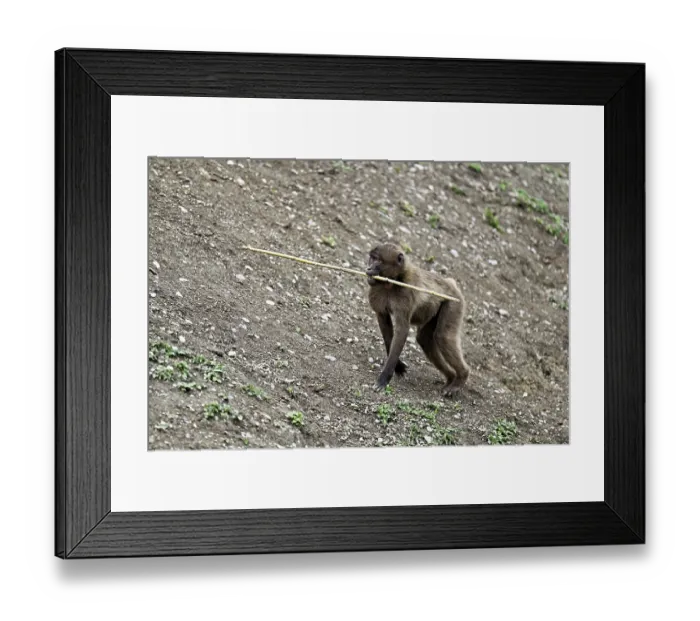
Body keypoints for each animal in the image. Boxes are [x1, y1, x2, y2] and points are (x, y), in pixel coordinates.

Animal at [366, 242, 469, 397]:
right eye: (372, 258)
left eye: (378, 260)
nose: (368, 268)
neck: (393, 281)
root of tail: (450, 283)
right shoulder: (376, 291)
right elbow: (385, 323)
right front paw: (398, 366)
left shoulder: (405, 294)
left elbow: (402, 330)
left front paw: (384, 378)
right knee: (425, 339)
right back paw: (451, 377)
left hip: (454, 302)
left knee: (443, 337)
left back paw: (461, 378)